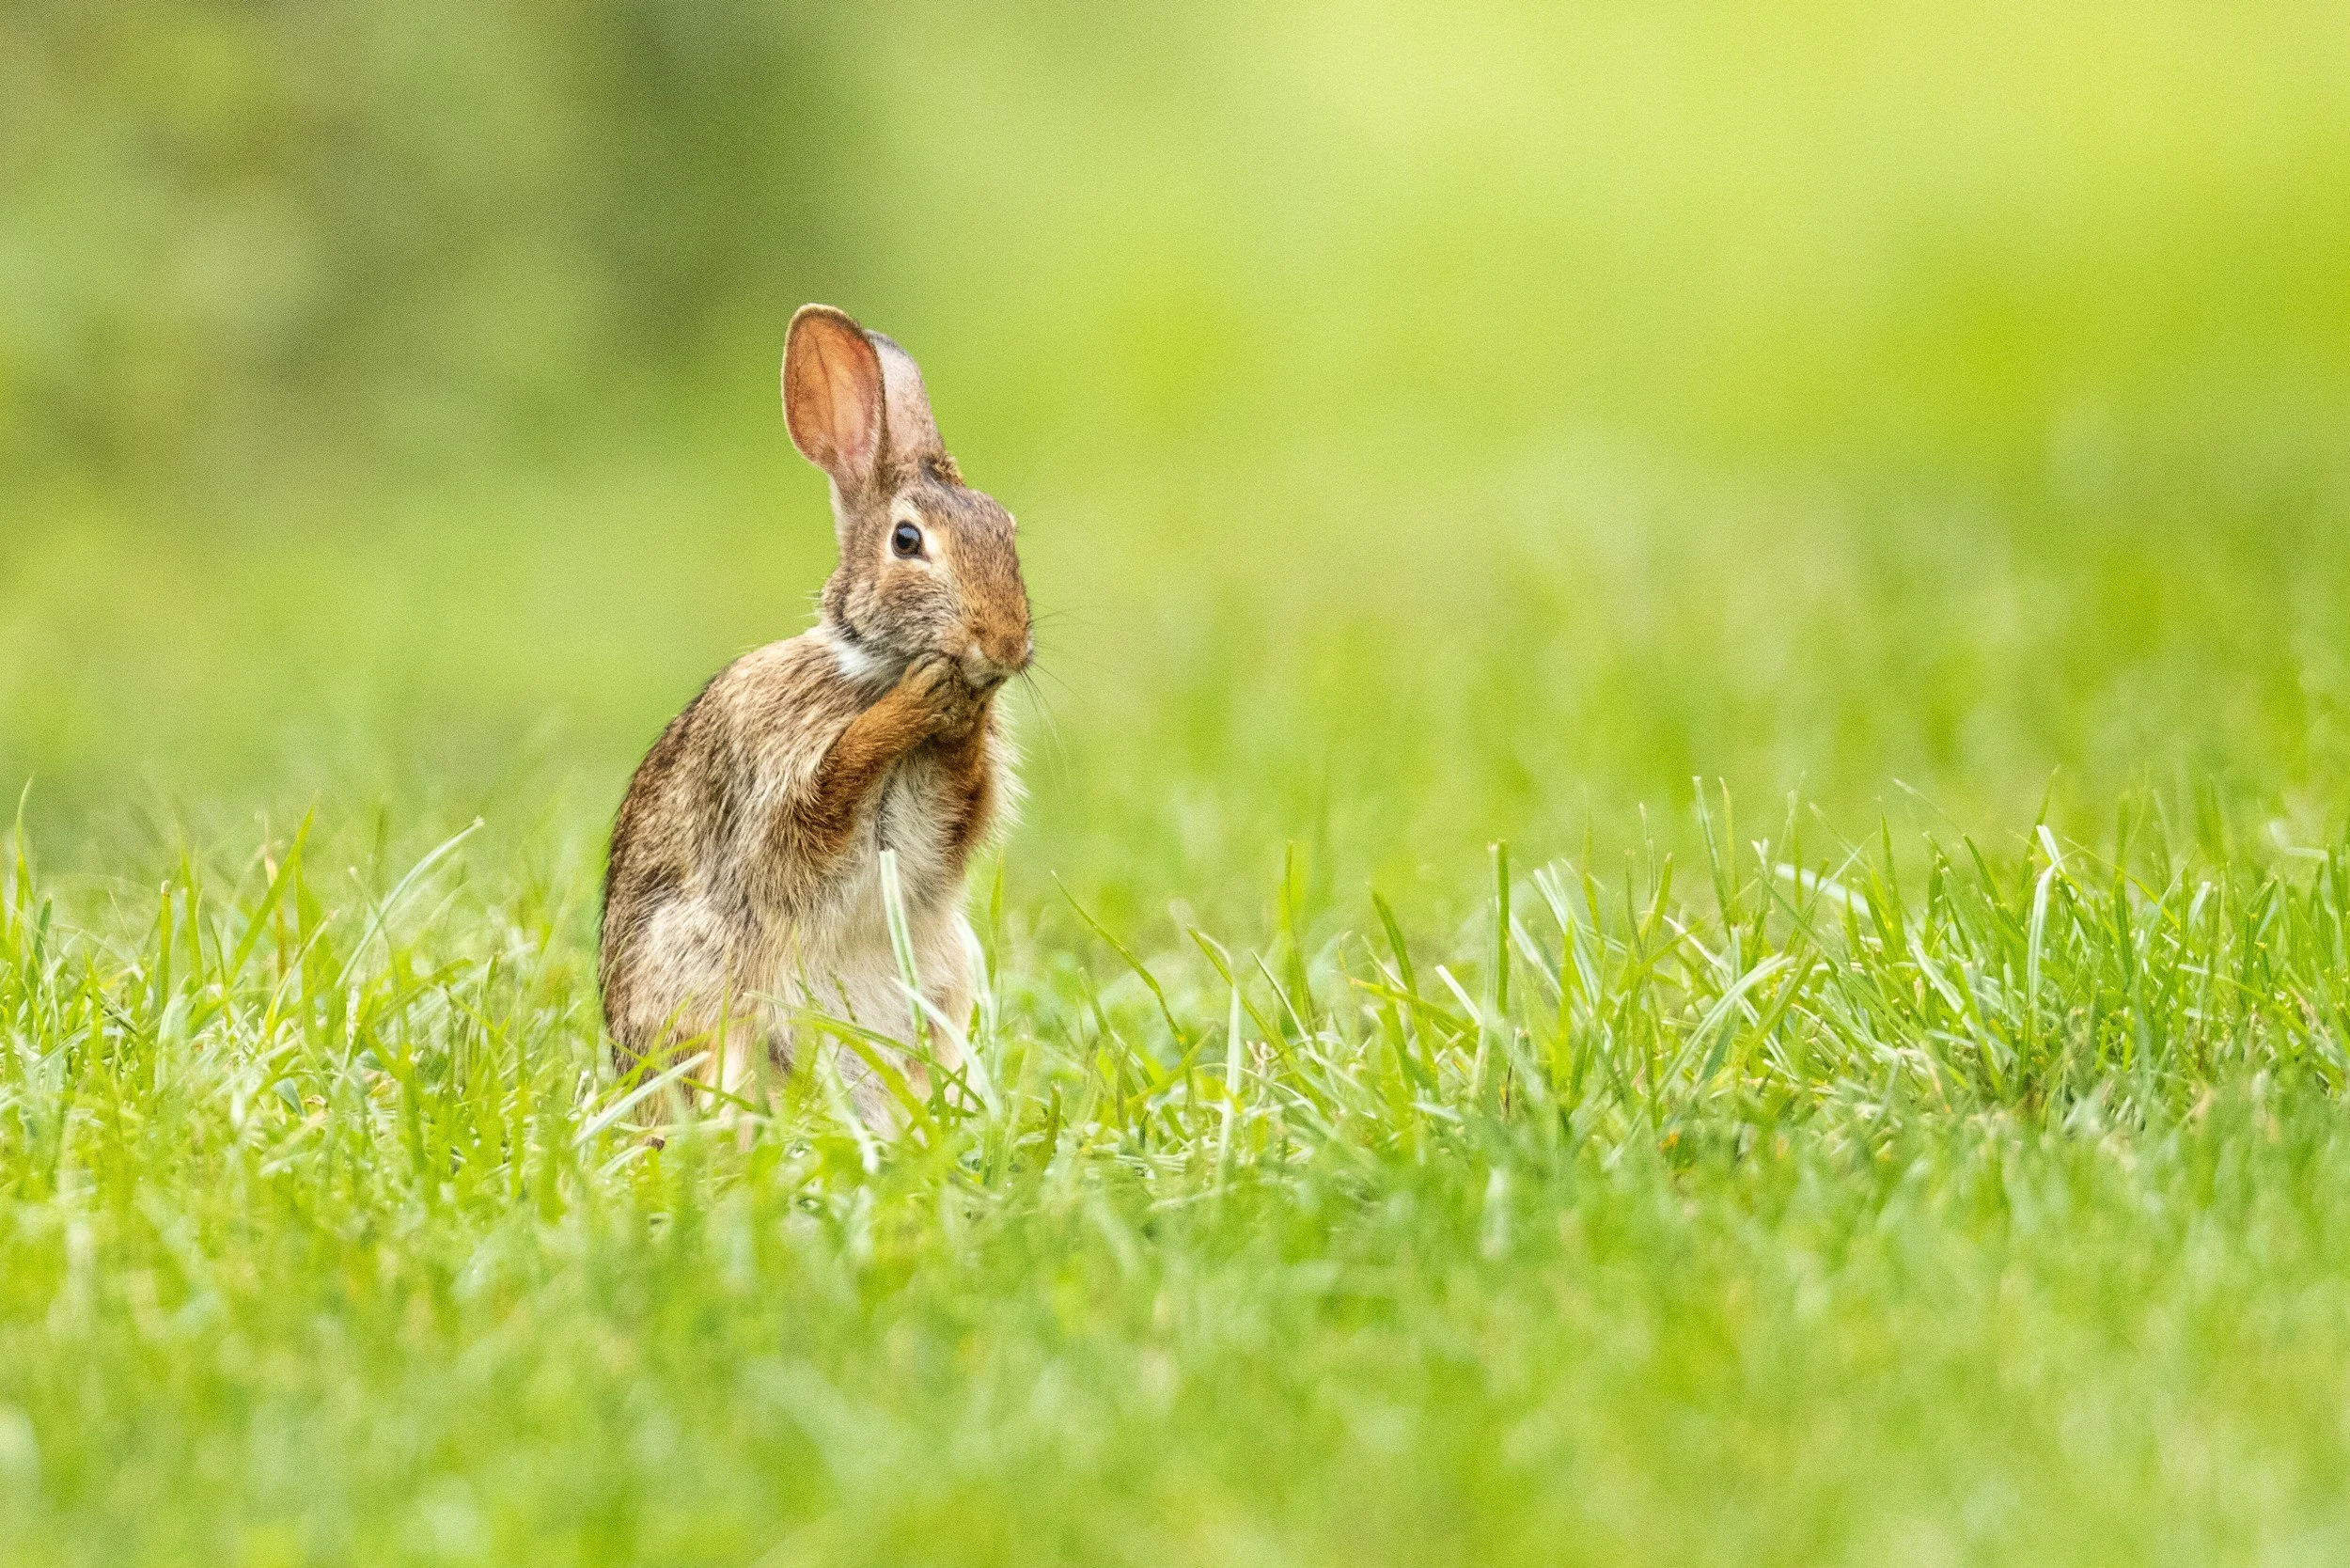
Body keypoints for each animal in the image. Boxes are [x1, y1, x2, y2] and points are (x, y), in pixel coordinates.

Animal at [598, 304, 1031, 1127]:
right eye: (907, 541)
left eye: (1008, 529)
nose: (1006, 642)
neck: (871, 668)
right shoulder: (774, 786)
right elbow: (830, 788)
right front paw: (925, 700)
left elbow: (960, 801)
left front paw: (962, 710)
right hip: (702, 996)